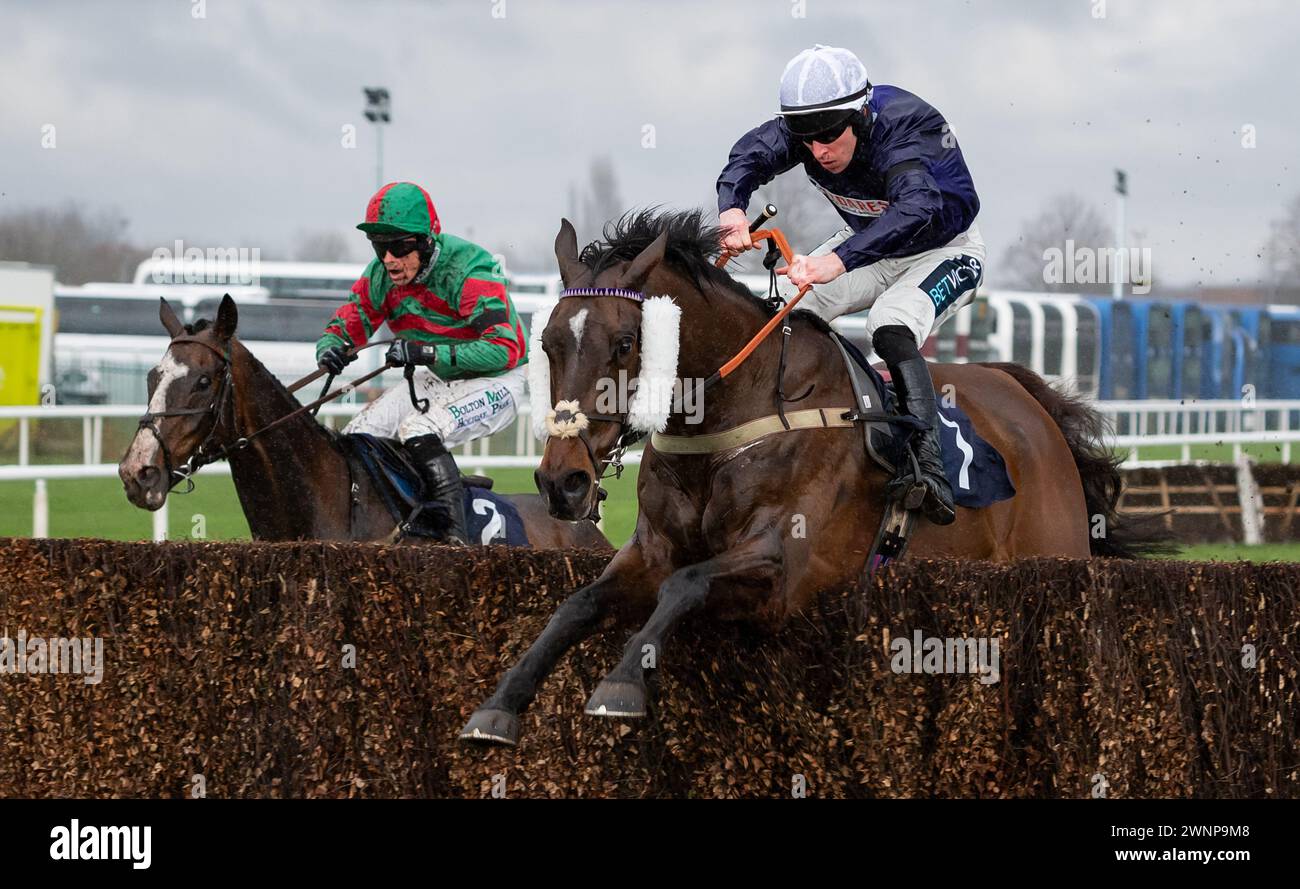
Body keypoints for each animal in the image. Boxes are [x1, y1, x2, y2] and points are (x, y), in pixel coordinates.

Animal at [462, 207, 1164, 743]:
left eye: (625, 344)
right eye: (548, 343)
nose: (562, 482)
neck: (735, 412)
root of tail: (1027, 398)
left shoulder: (785, 568)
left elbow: (686, 585)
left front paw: (622, 681)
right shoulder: (650, 549)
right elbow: (576, 605)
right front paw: (498, 704)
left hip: (1049, 558)